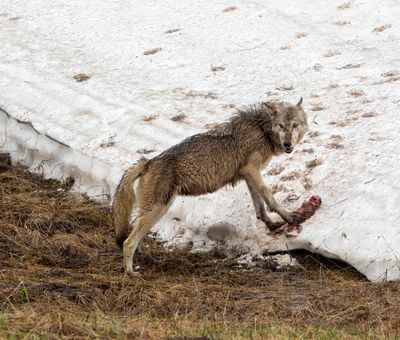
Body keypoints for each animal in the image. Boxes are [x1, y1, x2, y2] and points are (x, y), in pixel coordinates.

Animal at [113, 97, 310, 274]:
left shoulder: (248, 174)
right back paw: (130, 272)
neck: (262, 130)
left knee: (133, 235)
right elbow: (269, 197)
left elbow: (259, 206)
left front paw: (271, 225)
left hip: (152, 211)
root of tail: (147, 163)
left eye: (295, 125)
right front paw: (290, 217)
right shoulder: (251, 170)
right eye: (281, 126)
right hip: (158, 210)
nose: (287, 144)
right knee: (128, 242)